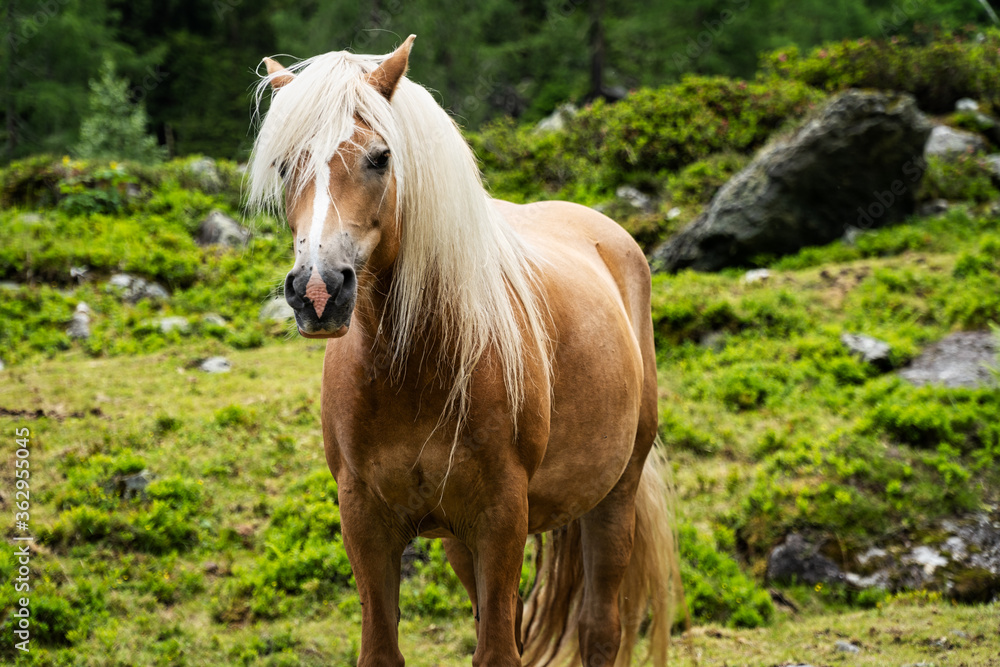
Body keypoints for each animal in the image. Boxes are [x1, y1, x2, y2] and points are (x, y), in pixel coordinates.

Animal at [247, 35, 681, 667]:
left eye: (380, 157)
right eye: (284, 165)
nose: (319, 292)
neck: (415, 369)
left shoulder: (500, 517)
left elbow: (498, 651)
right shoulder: (366, 520)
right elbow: (385, 648)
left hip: (614, 498)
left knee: (600, 629)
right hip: (459, 538)